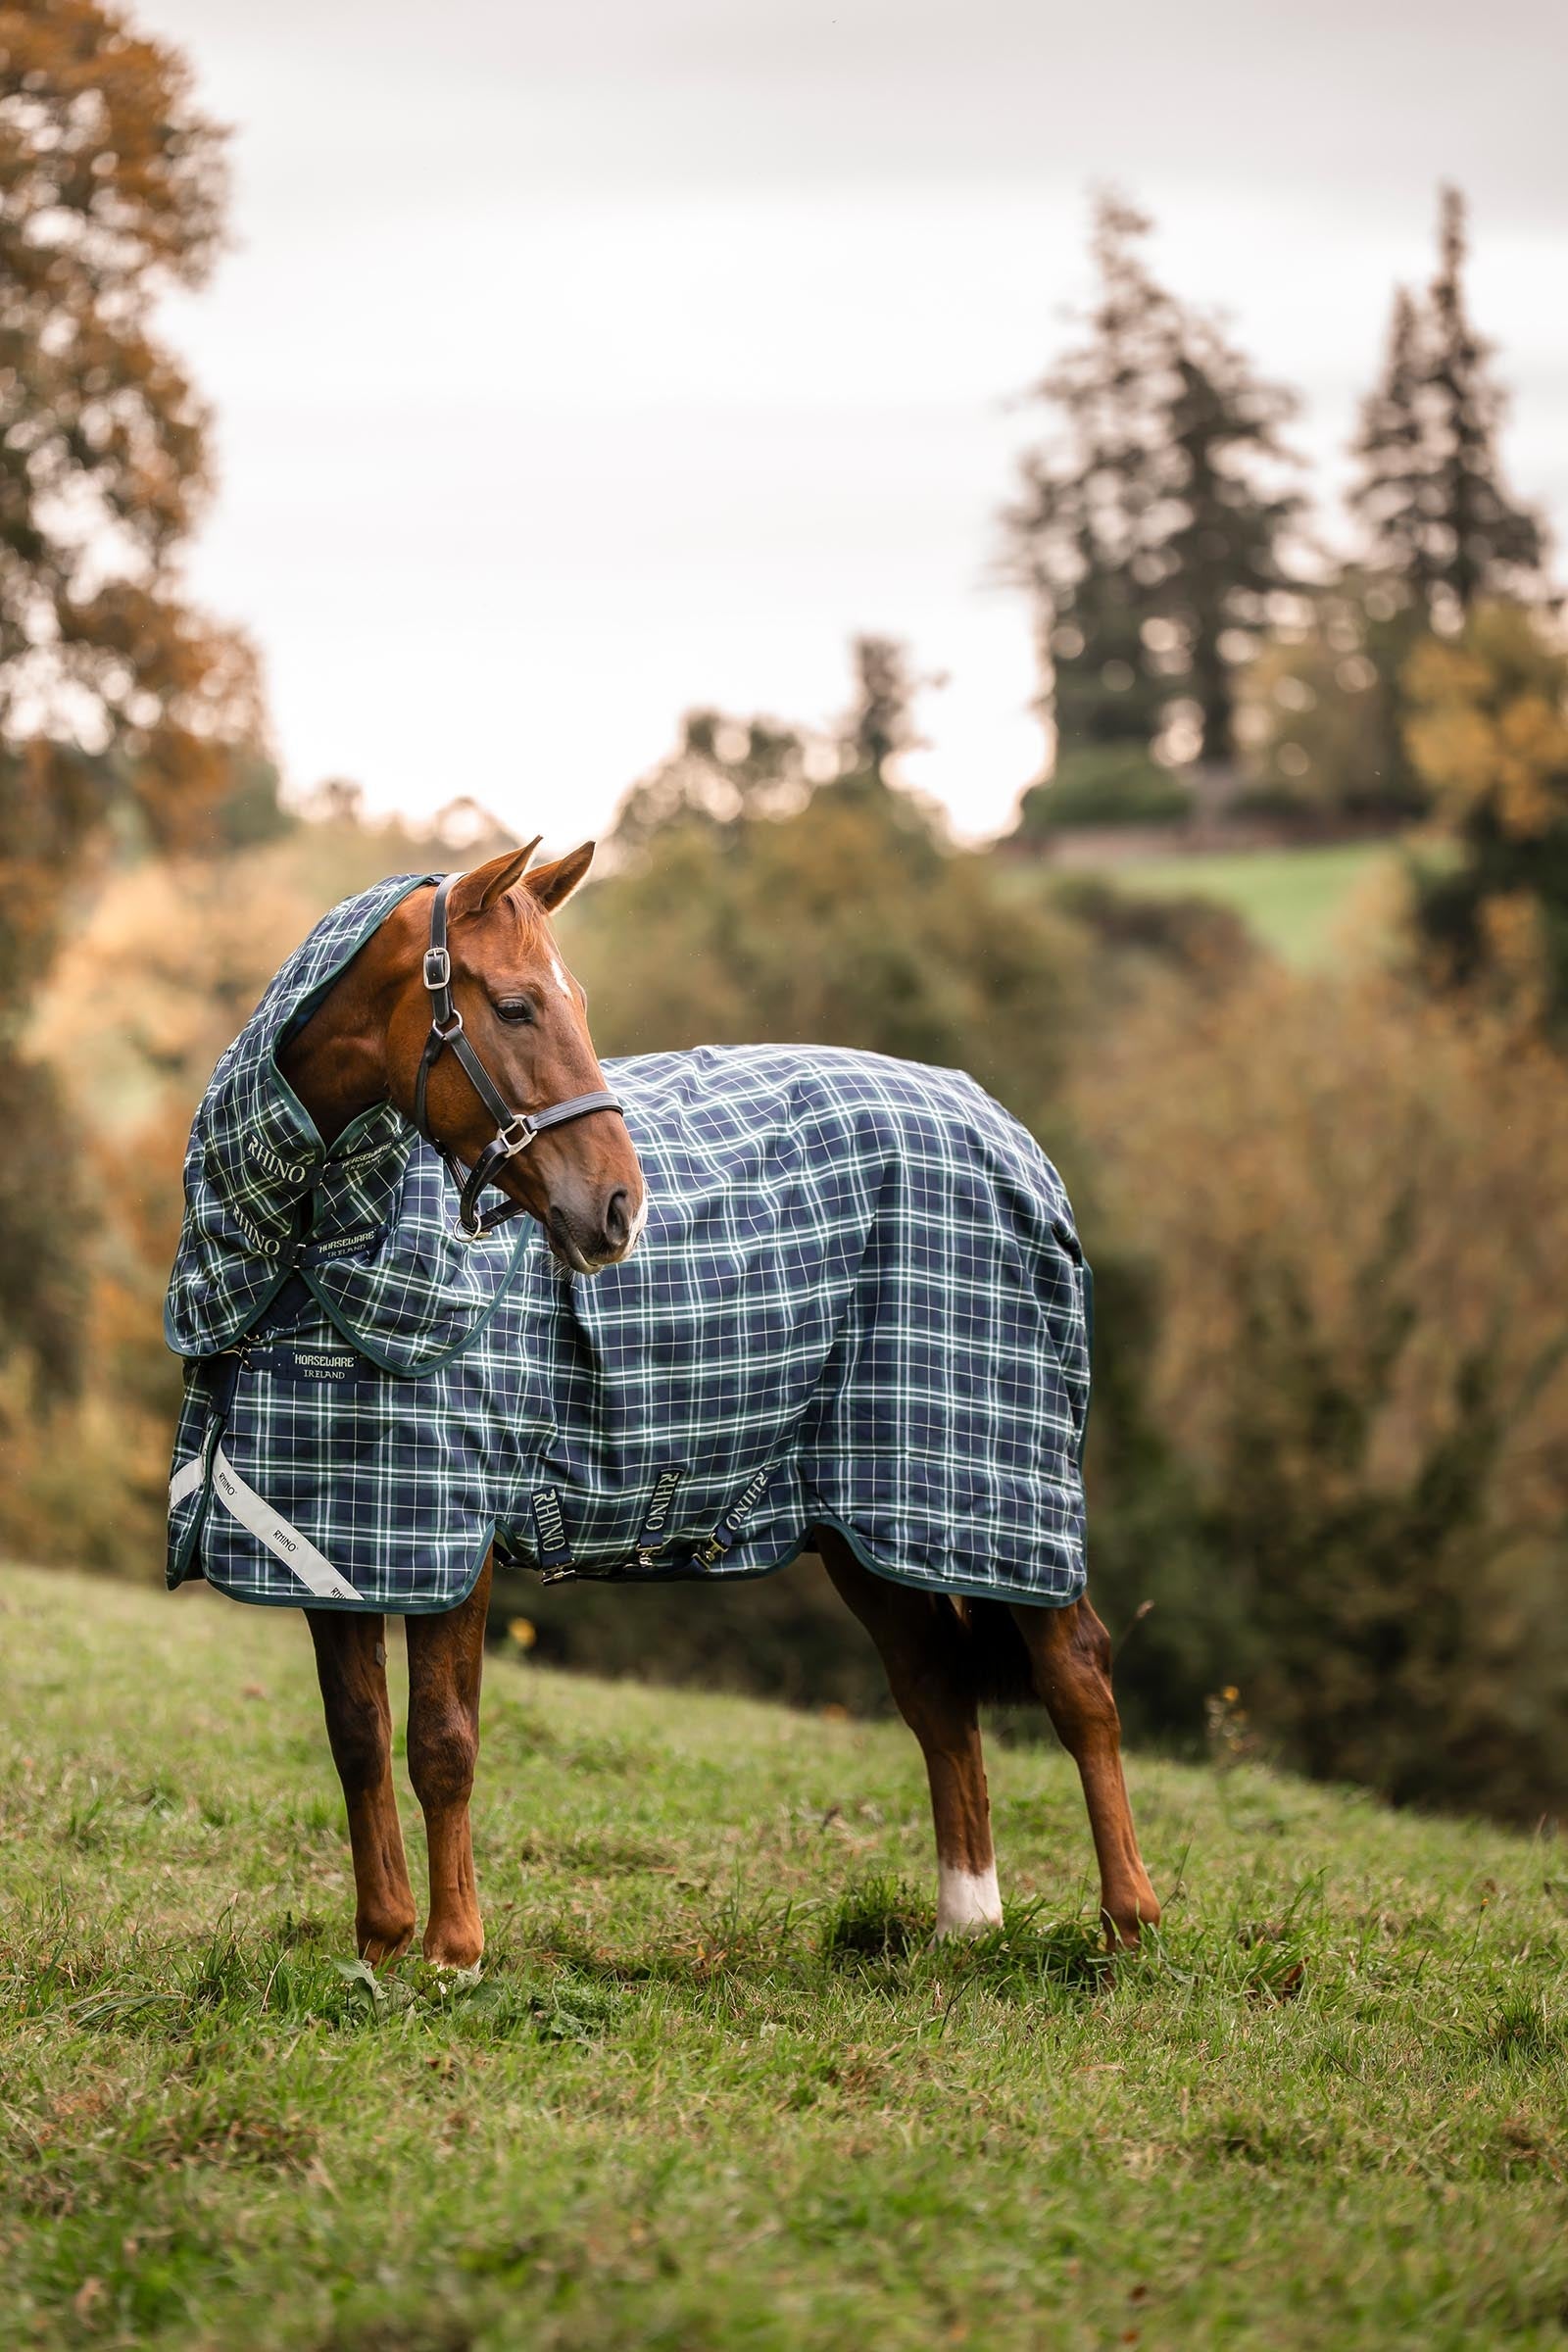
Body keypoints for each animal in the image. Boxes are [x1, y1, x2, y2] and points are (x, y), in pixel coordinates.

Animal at [182, 841, 1159, 1967]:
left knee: (1078, 1677)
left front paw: (454, 1954)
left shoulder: (453, 1534)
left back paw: (1128, 1923)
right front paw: (381, 1949)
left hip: (995, 1493)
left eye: (577, 1003)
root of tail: (1002, 1128)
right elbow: (355, 1740)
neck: (308, 1251)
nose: (618, 1209)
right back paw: (965, 1923)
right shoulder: (329, 1534)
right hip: (865, 1518)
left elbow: (441, 1742)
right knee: (937, 1693)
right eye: (515, 1007)